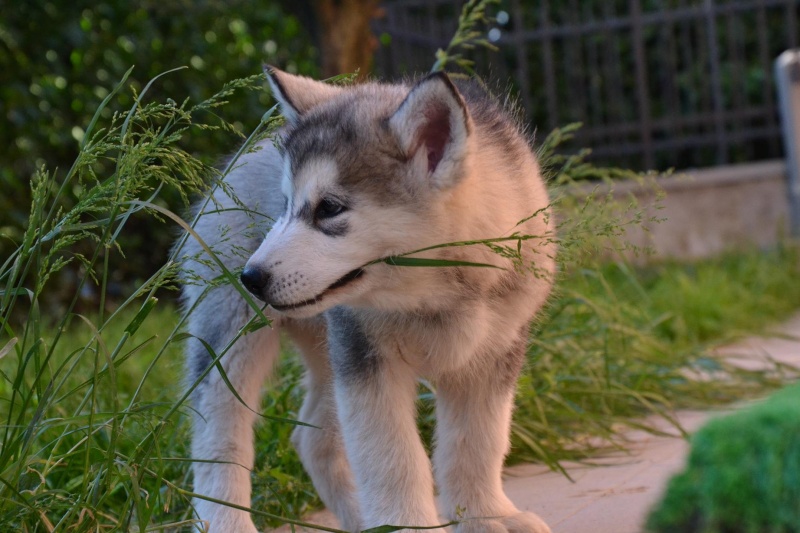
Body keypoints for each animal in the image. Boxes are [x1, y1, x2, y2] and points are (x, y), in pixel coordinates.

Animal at [181, 67, 556, 532]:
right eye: (285, 205)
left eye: (329, 208)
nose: (250, 278)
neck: (436, 297)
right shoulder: (366, 360)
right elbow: (391, 457)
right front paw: (404, 525)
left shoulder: (491, 359)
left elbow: (477, 445)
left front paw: (487, 516)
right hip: (231, 344)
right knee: (219, 436)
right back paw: (225, 518)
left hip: (327, 353)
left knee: (313, 439)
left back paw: (360, 518)